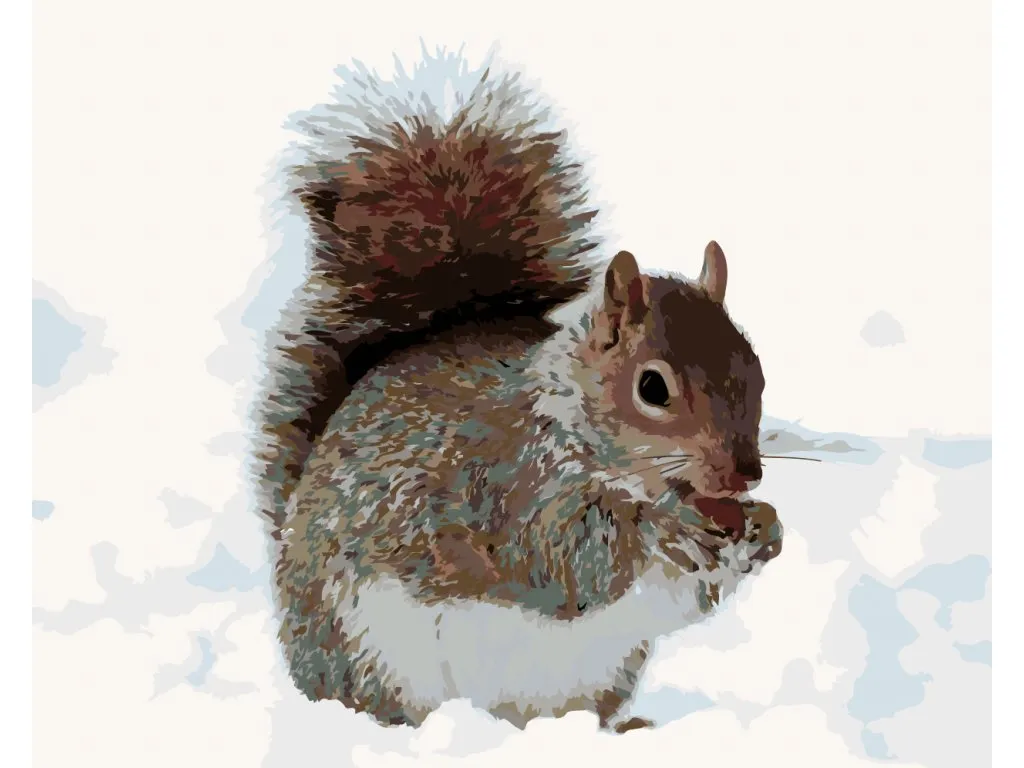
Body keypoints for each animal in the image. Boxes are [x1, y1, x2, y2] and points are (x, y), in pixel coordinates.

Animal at [253, 50, 783, 734]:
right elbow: (565, 560)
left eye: (758, 369)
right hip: (368, 656)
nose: (745, 475)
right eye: (652, 387)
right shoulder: (508, 486)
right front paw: (666, 532)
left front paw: (766, 528)